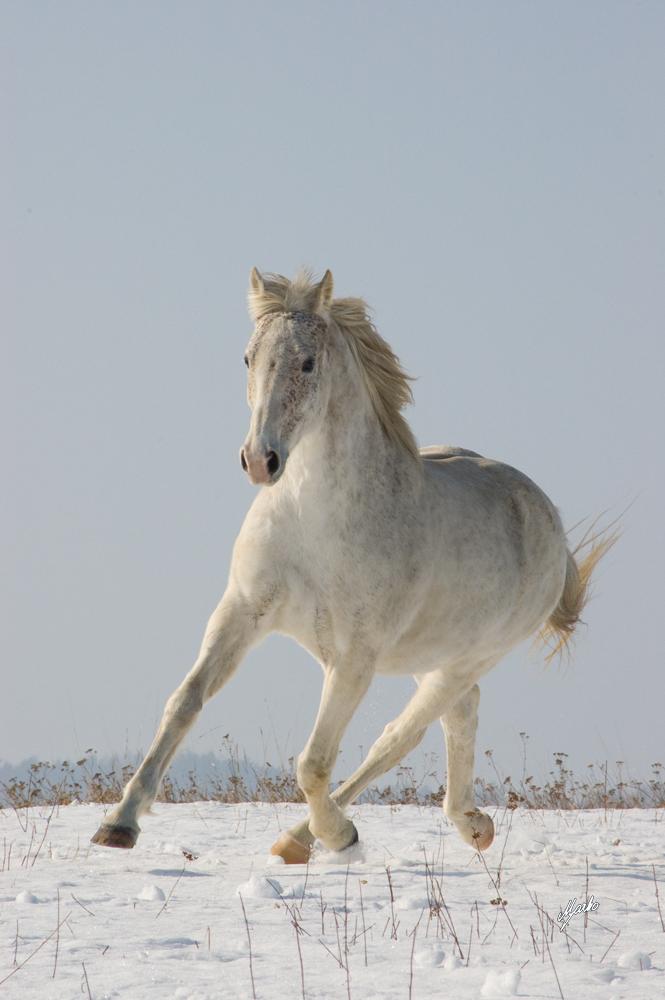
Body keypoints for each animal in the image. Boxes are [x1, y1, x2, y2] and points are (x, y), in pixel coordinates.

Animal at [92, 270, 612, 864]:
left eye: (307, 362)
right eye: (247, 358)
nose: (260, 461)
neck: (313, 522)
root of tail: (548, 517)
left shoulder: (353, 658)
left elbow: (314, 763)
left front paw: (338, 835)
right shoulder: (241, 611)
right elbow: (185, 702)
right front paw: (119, 824)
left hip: (466, 659)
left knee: (399, 737)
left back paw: (305, 839)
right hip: (429, 653)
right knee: (460, 715)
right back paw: (472, 824)